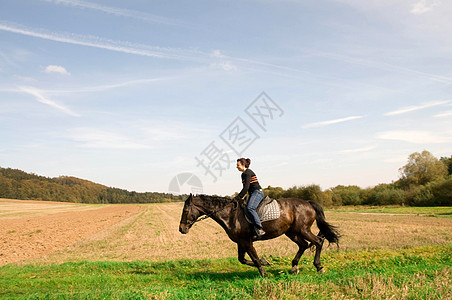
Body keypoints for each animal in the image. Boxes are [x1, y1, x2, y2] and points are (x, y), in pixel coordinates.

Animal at [177, 195, 340, 276]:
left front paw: (264, 273)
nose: (181, 229)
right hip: (292, 232)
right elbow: (242, 259)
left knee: (318, 241)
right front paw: (265, 262)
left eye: (185, 210)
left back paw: (319, 267)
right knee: (304, 245)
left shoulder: (246, 241)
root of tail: (308, 203)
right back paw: (294, 267)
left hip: (303, 229)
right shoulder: (240, 242)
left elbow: (253, 258)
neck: (230, 215)